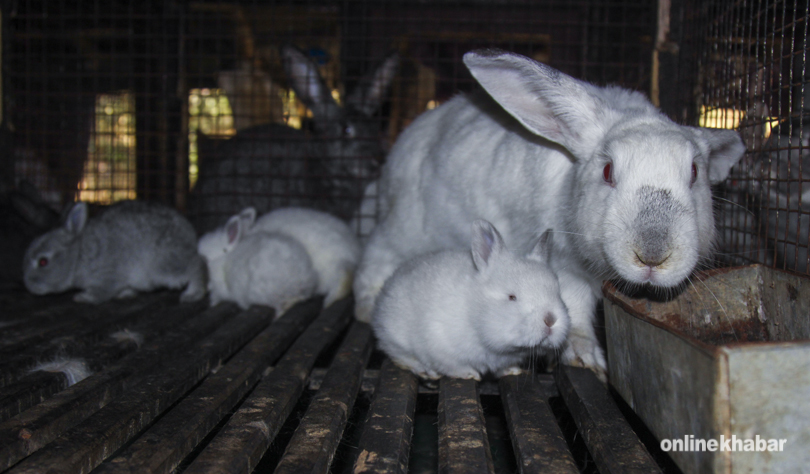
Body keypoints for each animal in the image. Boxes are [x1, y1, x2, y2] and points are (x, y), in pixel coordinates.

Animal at [23, 200, 207, 303]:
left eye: (43, 261)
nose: (29, 286)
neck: (78, 255)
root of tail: (190, 235)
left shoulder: (107, 274)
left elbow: (102, 292)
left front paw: (83, 297)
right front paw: (125, 294)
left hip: (164, 264)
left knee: (196, 264)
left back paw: (193, 293)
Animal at [371, 220, 570, 381]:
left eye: (558, 292)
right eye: (512, 297)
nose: (550, 320)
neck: (473, 312)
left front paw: (512, 370)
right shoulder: (438, 344)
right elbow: (451, 366)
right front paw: (469, 374)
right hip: (395, 337)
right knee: (400, 356)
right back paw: (426, 372)